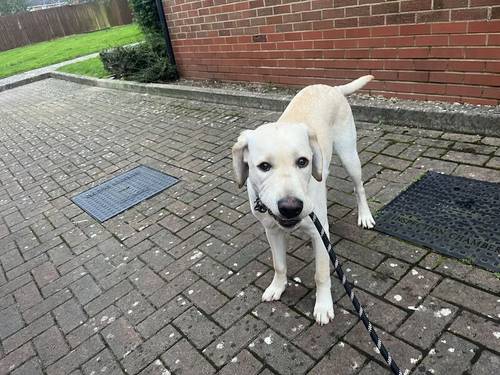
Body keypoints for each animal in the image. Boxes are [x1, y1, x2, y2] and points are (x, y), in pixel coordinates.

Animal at [231, 75, 376, 324]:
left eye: (302, 162)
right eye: (263, 166)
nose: (291, 208)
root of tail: (332, 88)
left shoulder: (320, 234)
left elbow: (321, 274)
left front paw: (323, 306)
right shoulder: (272, 230)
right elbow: (279, 264)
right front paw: (277, 287)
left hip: (349, 156)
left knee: (359, 188)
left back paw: (365, 215)